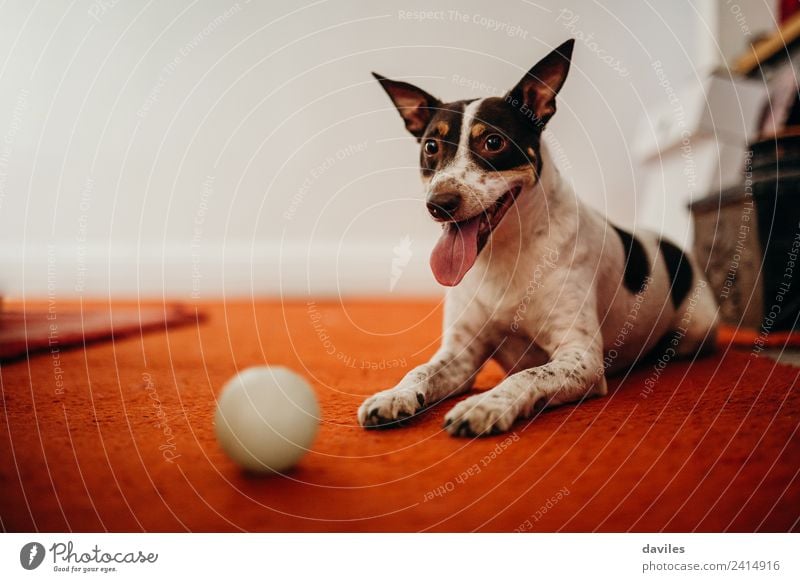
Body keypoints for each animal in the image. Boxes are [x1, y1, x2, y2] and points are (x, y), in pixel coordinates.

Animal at [356, 40, 720, 438]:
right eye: (431, 147)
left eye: (494, 142)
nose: (439, 204)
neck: (505, 253)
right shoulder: (460, 354)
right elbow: (420, 370)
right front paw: (393, 395)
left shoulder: (580, 357)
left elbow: (526, 376)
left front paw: (485, 404)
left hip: (697, 329)